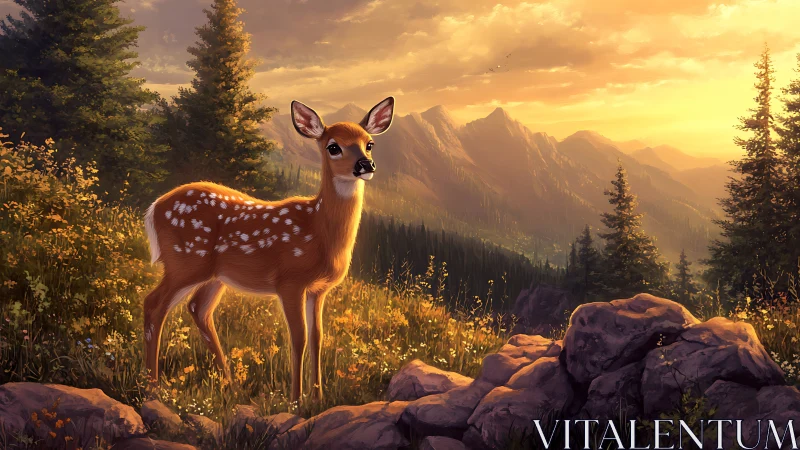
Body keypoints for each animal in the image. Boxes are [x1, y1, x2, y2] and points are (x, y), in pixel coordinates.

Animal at [142, 97, 395, 401]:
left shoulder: (318, 290)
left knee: (197, 308)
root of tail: (154, 208)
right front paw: (296, 399)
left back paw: (230, 384)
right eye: (333, 146)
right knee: (153, 304)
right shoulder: (290, 281)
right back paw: (153, 387)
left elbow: (318, 337)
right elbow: (298, 337)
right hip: (185, 260)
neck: (319, 231)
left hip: (214, 275)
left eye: (369, 143)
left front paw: (318, 397)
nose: (366, 164)